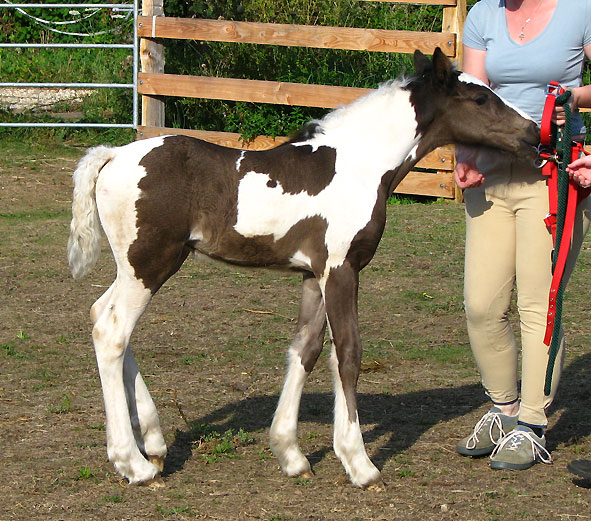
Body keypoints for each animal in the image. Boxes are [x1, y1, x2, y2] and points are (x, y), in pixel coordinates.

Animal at [67, 48, 540, 488]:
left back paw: (155, 442)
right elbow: (347, 353)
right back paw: (134, 463)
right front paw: (360, 464)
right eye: (480, 98)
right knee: (111, 333)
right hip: (150, 265)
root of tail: (112, 156)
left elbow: (305, 350)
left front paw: (291, 454)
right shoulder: (342, 270)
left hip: (136, 268)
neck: (358, 165)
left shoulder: (315, 276)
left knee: (100, 315)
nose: (534, 132)